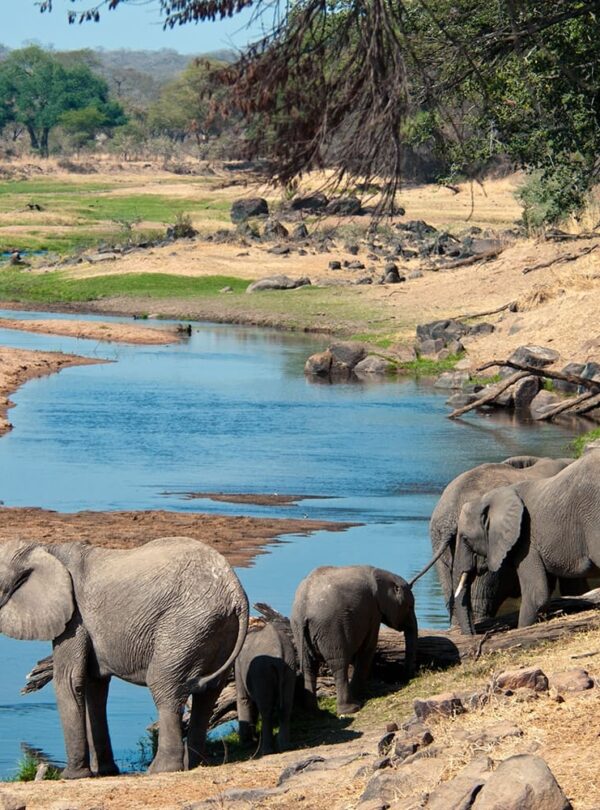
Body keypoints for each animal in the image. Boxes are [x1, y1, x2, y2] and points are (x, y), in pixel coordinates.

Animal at [0, 536, 248, 778]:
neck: (43, 549)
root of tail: (236, 592)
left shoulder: (74, 618)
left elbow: (69, 681)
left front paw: (72, 776)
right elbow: (94, 684)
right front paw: (105, 772)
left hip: (186, 626)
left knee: (164, 685)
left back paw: (161, 769)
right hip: (216, 630)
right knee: (208, 694)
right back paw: (194, 764)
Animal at [234, 619, 296, 755]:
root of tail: (279, 653)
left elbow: (244, 699)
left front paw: (246, 744)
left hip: (262, 672)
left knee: (266, 710)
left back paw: (266, 751)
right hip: (289, 667)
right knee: (286, 706)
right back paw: (285, 746)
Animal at [291, 565, 417, 716]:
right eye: (410, 607)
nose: (407, 678)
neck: (381, 574)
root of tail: (304, 610)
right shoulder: (373, 611)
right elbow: (368, 648)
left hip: (298, 629)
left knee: (309, 665)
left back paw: (314, 712)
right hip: (331, 629)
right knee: (338, 664)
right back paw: (351, 709)